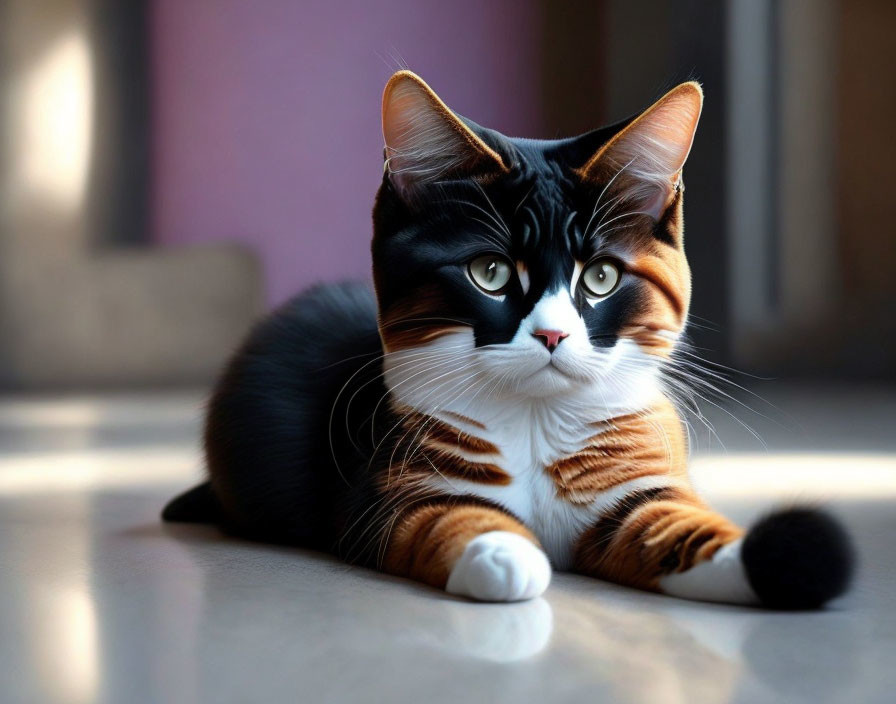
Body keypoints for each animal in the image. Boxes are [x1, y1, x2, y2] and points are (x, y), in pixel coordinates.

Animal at [163, 73, 856, 612]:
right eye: (490, 272)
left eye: (601, 276)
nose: (551, 333)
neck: (534, 420)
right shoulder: (382, 482)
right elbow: (437, 514)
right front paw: (502, 550)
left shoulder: (637, 476)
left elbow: (674, 523)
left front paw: (777, 553)